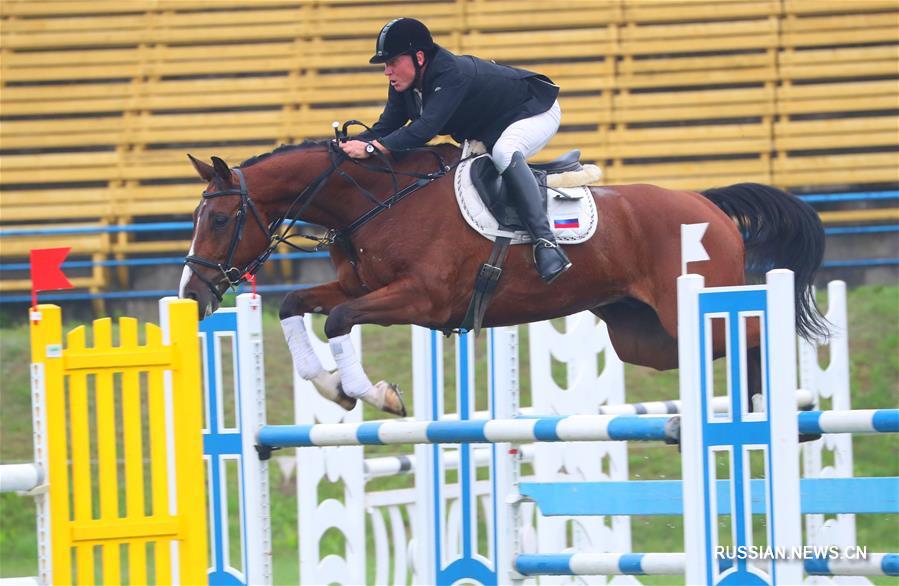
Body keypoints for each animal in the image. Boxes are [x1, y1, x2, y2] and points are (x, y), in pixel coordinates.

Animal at [179, 140, 828, 416]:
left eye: (219, 219)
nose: (192, 294)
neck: (375, 203)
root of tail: (708, 204)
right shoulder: (365, 289)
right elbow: (295, 303)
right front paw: (332, 388)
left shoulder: (422, 300)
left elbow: (337, 318)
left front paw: (374, 393)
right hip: (645, 338)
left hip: (693, 309)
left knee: (754, 330)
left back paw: (778, 401)